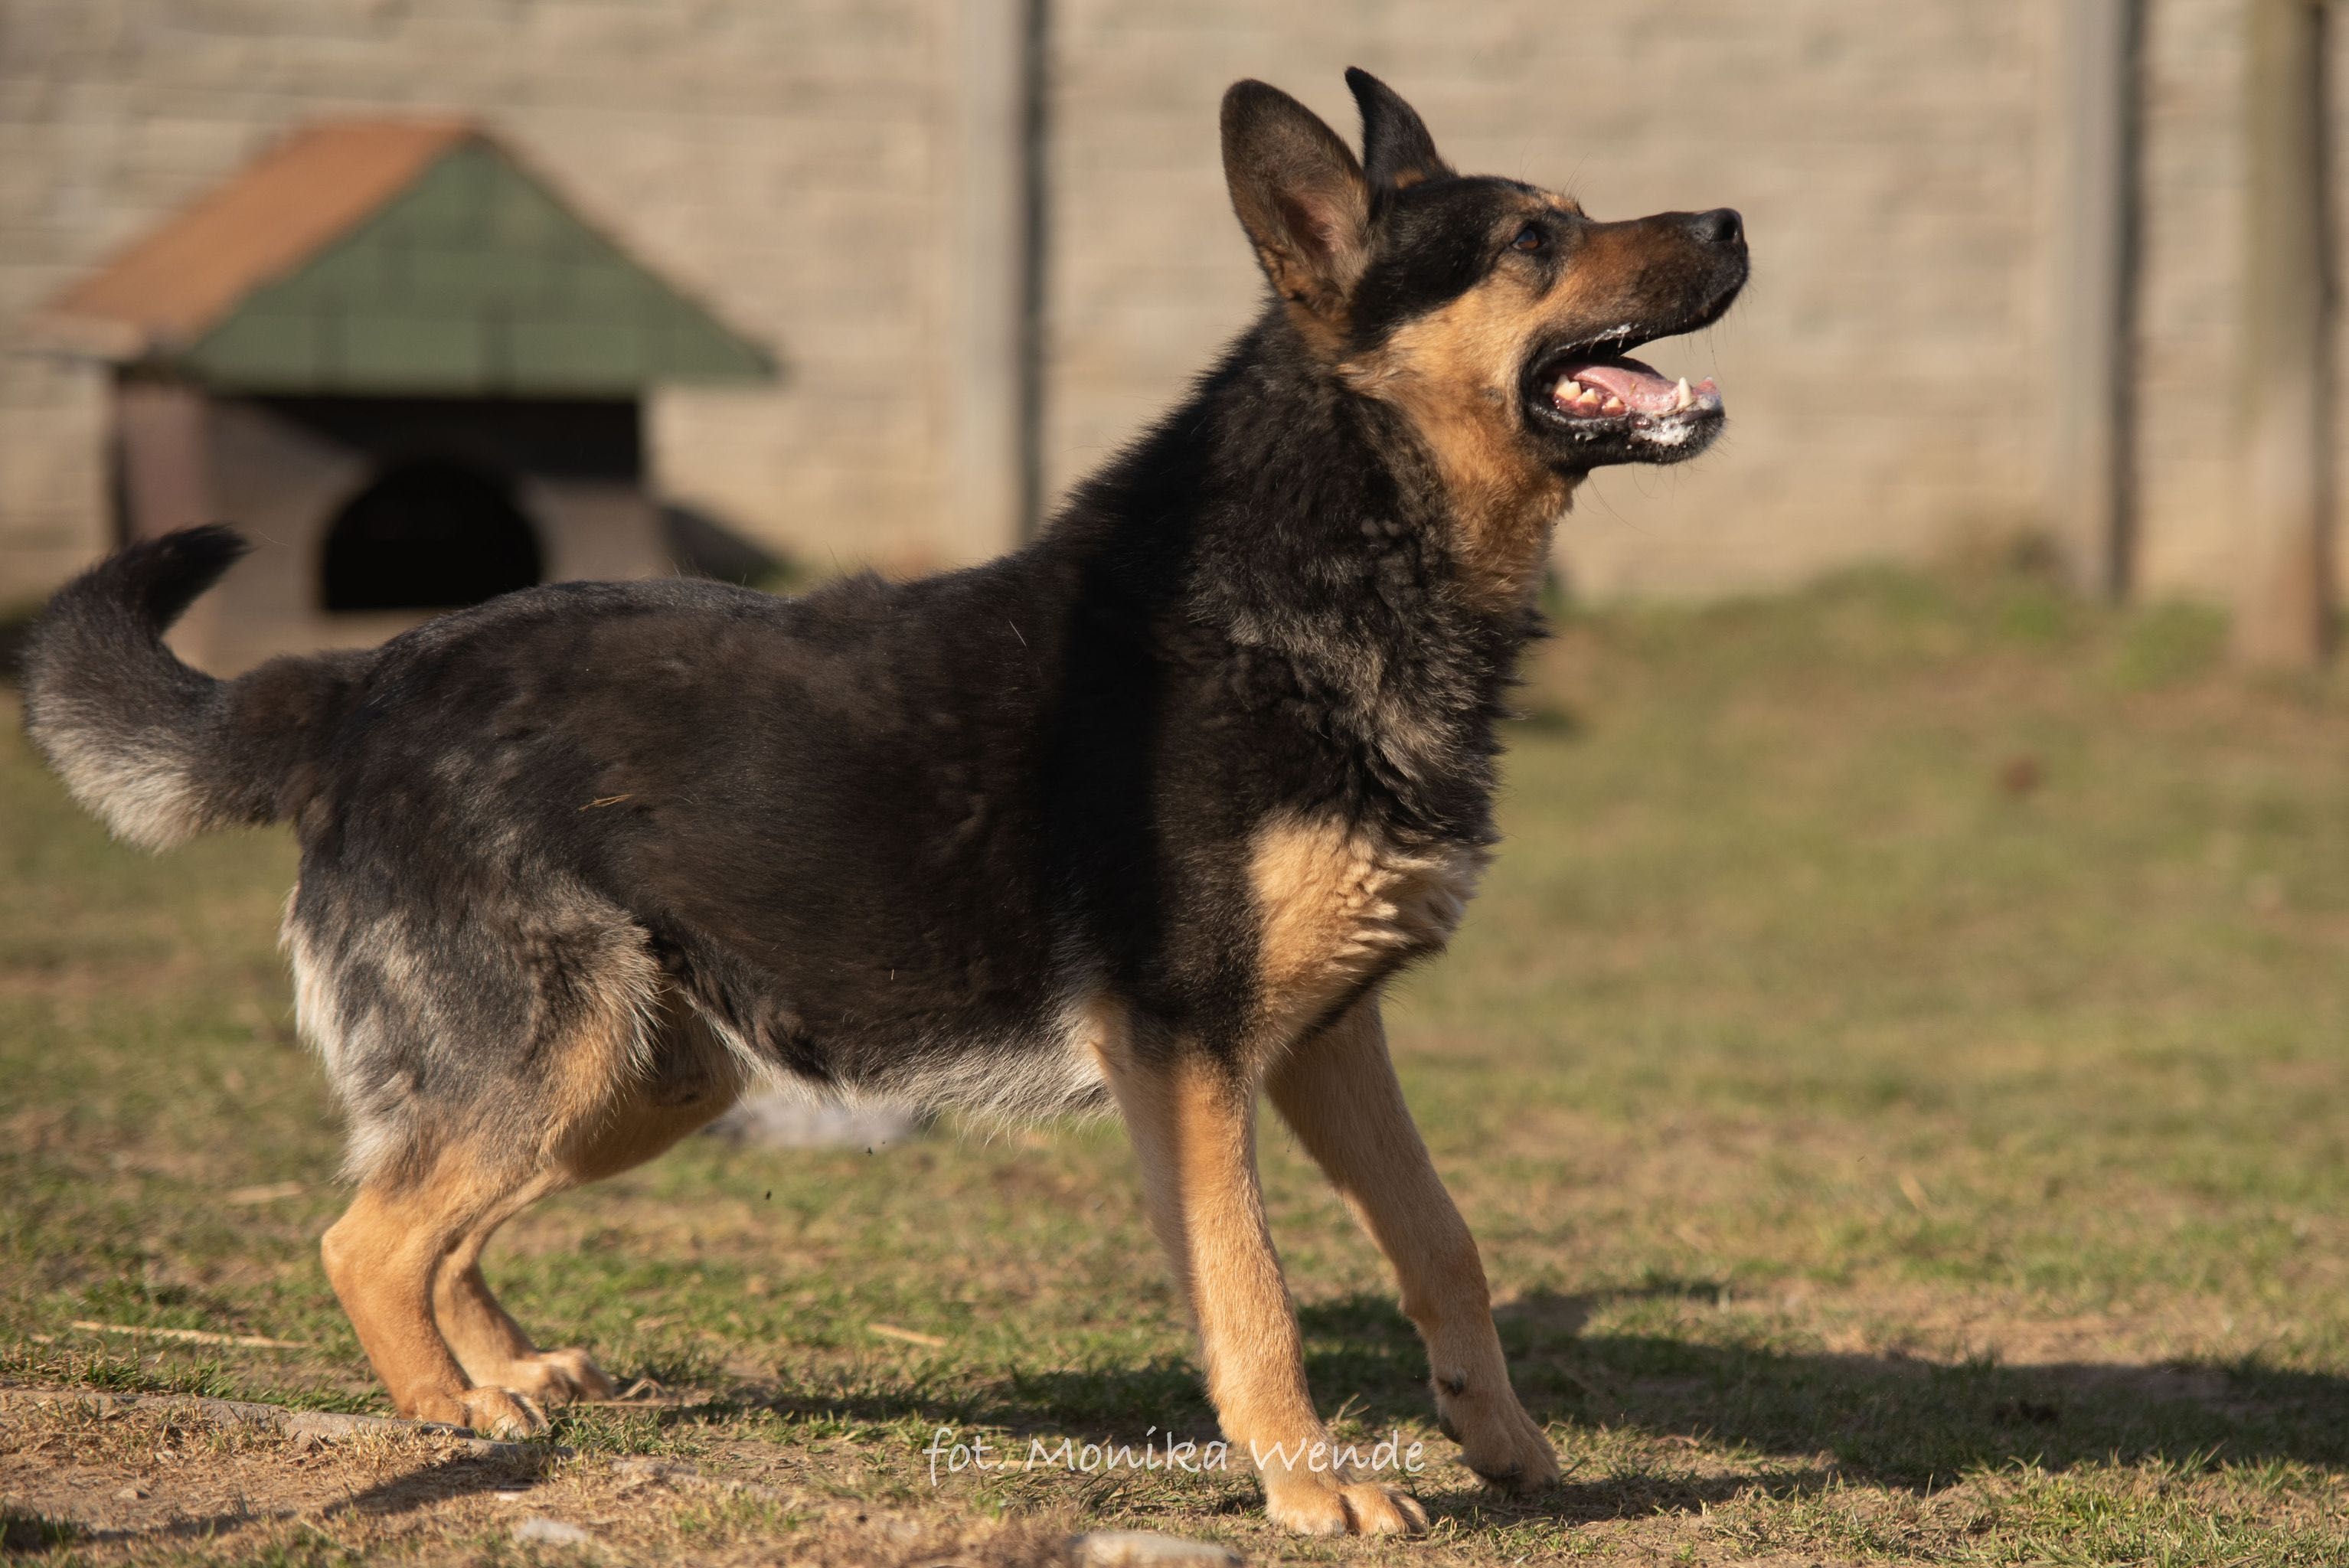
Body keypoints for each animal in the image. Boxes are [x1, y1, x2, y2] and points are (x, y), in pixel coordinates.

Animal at [22, 70, 1747, 1530]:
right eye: (1534, 241)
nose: (1735, 221)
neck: (1334, 554)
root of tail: (362, 681)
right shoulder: (1188, 1057)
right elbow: (1251, 1289)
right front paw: (1311, 1490)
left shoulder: (1330, 1040)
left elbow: (1444, 1241)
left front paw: (1502, 1438)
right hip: (561, 1059)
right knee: (363, 1233)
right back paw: (452, 1412)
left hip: (639, 1081)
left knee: (420, 1201)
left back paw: (500, 1366)